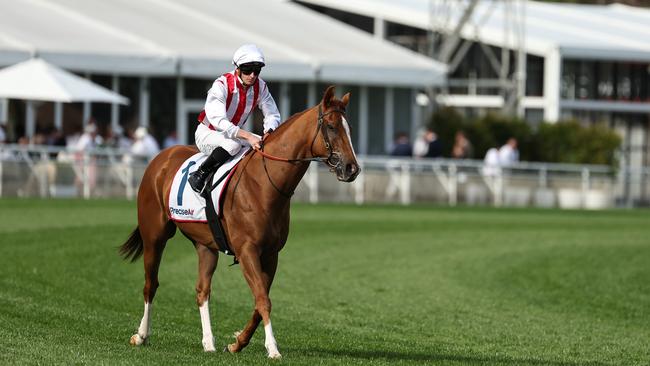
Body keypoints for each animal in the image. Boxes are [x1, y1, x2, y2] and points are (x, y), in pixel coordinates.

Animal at [119, 85, 356, 358]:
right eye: (331, 126)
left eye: (348, 127)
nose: (352, 168)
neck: (264, 184)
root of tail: (161, 158)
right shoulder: (247, 251)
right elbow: (263, 299)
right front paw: (272, 348)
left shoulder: (271, 254)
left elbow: (260, 301)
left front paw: (237, 342)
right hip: (155, 235)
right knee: (151, 284)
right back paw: (141, 335)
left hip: (205, 245)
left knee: (202, 290)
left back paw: (208, 342)